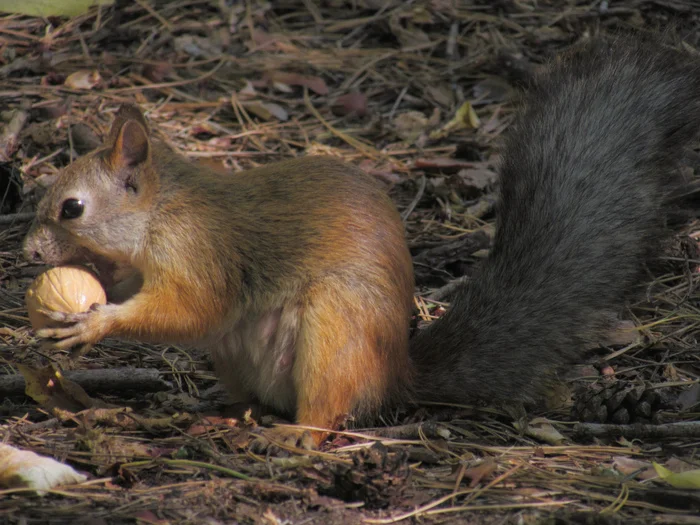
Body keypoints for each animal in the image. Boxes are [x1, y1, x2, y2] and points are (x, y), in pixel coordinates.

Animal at [24, 35, 700, 446]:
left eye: (72, 208)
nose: (29, 253)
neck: (162, 213)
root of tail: (396, 373)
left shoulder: (202, 253)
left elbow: (189, 310)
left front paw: (94, 322)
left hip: (335, 329)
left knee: (329, 412)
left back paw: (299, 434)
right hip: (244, 356)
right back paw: (228, 408)